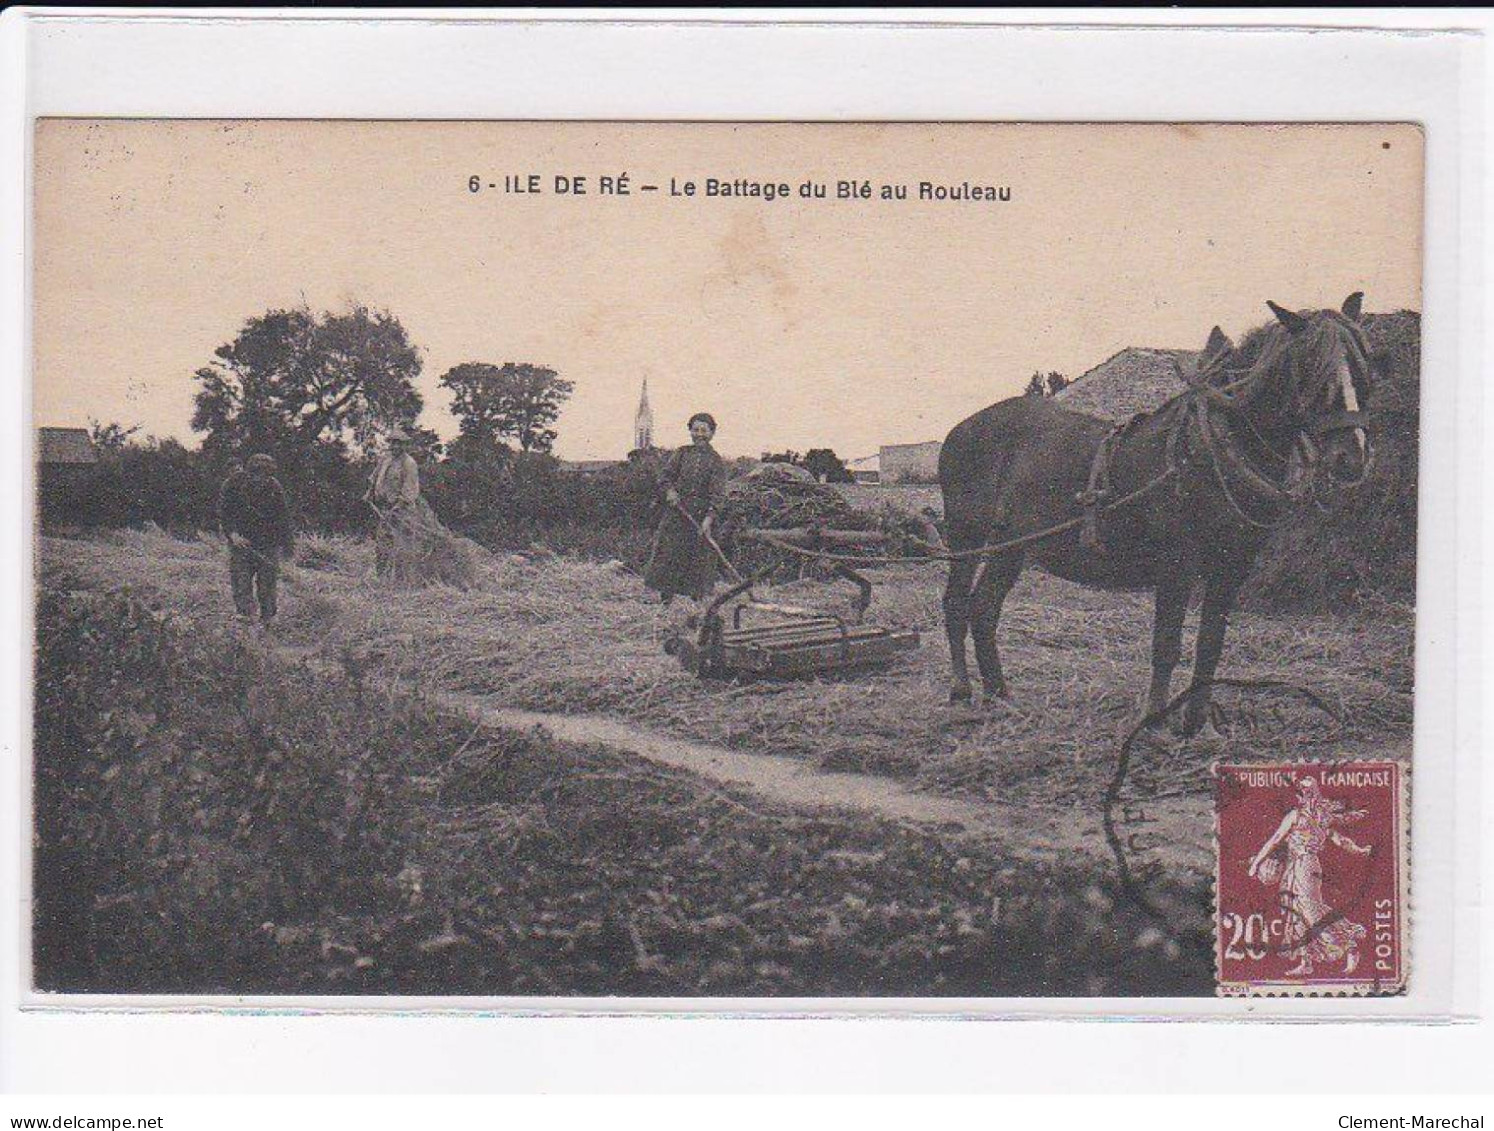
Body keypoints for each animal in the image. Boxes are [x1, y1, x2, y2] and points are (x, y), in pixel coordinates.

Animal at [944, 292, 1374, 732]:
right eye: (1310, 366)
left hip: (1009, 546)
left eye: (1362, 365)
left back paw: (995, 694)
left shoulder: (1230, 569)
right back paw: (971, 691)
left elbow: (1210, 645)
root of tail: (961, 429)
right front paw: (1154, 721)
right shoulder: (1176, 564)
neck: (1216, 449)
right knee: (961, 604)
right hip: (971, 538)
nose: (1351, 458)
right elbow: (1166, 643)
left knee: (981, 607)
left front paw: (1197, 723)